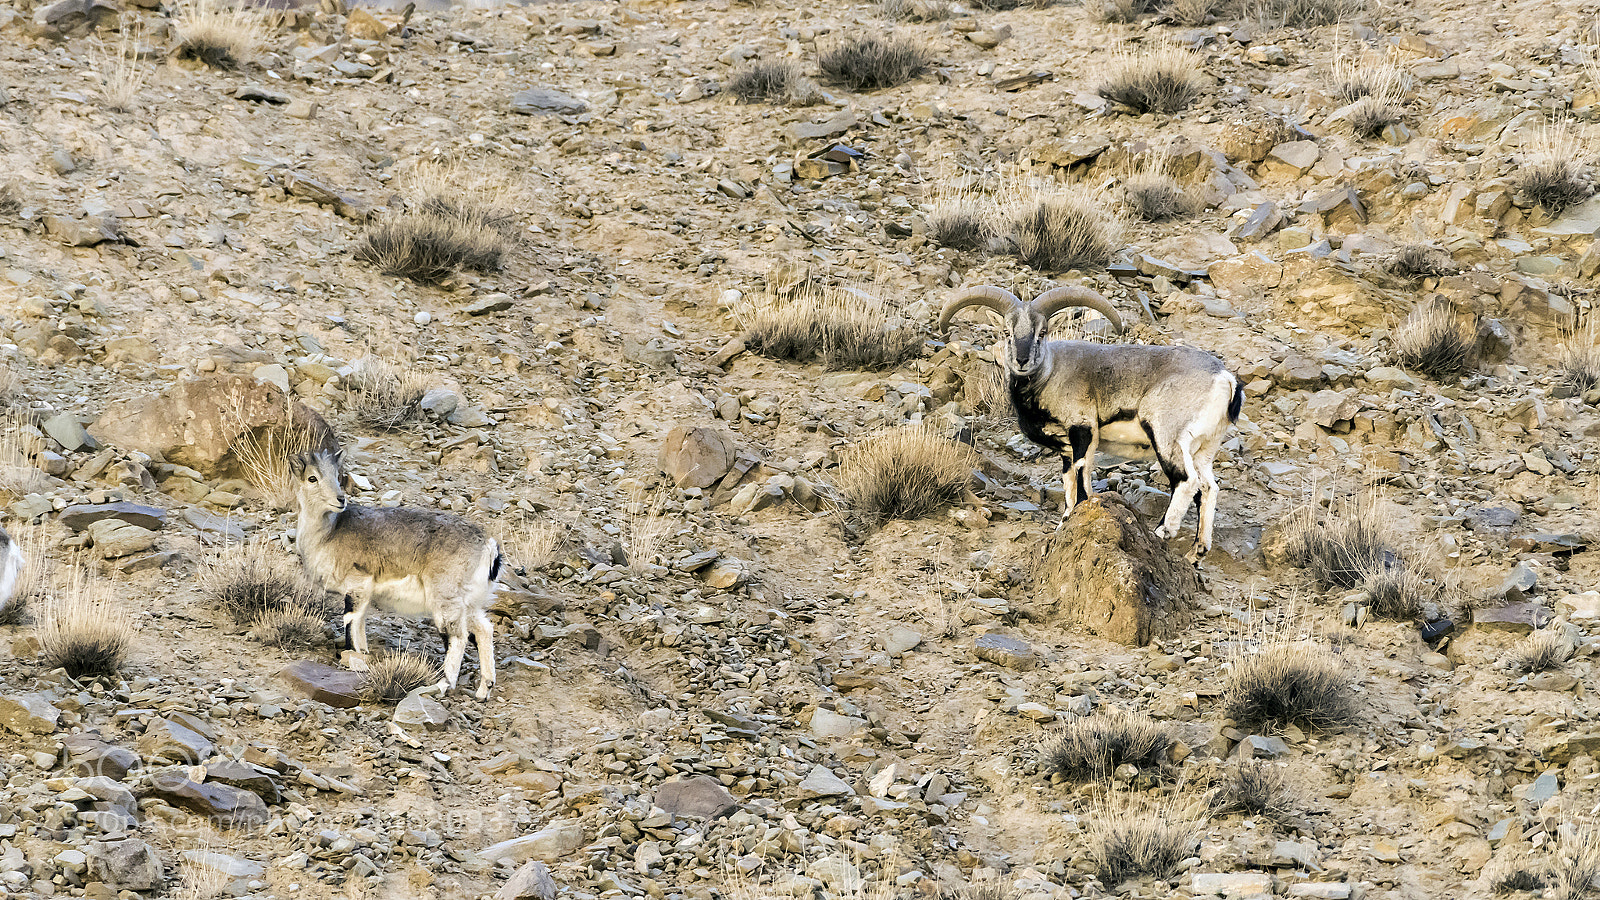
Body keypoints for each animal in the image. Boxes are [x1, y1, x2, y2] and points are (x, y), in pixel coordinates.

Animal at [289, 450, 501, 700]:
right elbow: (360, 625)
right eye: (312, 478)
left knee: (457, 637)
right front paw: (363, 654)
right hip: (469, 603)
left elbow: (350, 622)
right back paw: (484, 688)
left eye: (337, 475)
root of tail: (488, 547)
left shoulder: (357, 584)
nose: (340, 499)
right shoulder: (364, 593)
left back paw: (444, 683)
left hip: (445, 597)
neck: (328, 534)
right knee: (484, 629)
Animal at [940, 284, 1242, 556]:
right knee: (1208, 487)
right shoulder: (1065, 446)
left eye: (1042, 332)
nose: (1022, 360)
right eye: (1007, 332)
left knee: (1186, 481)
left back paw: (1162, 531)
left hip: (1167, 436)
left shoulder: (1082, 428)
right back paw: (1198, 550)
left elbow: (1082, 473)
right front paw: (1064, 522)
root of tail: (1225, 379)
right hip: (1204, 448)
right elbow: (1068, 481)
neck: (1050, 376)